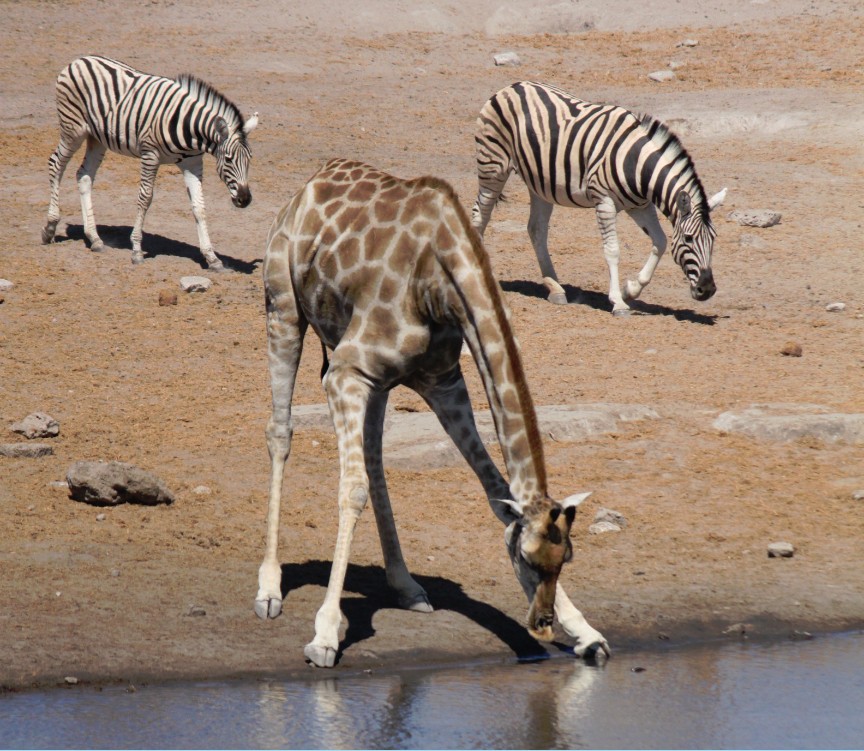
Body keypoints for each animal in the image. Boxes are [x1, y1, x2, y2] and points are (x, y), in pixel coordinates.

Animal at [41, 56, 256, 274]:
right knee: (56, 164)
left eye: (249, 159)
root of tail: (78, 60)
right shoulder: (150, 155)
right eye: (228, 159)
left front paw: (212, 258)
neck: (189, 129)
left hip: (97, 138)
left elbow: (199, 207)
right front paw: (136, 250)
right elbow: (145, 198)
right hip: (73, 130)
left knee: (84, 176)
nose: (245, 199)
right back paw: (50, 228)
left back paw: (95, 239)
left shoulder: (192, 162)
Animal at [253, 159, 612, 668]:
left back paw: (406, 585)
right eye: (525, 559)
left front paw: (587, 634)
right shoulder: (346, 372)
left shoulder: (442, 381)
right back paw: (269, 587)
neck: (437, 280)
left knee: (375, 461)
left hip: (378, 381)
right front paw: (324, 635)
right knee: (280, 432)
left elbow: (497, 492)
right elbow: (351, 490)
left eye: (565, 561)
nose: (542, 623)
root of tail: (304, 189)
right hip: (282, 307)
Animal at [470, 81, 724, 316]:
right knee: (479, 217)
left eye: (713, 239)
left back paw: (555, 287)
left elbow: (660, 241)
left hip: (539, 182)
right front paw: (618, 302)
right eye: (689, 239)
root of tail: (512, 86)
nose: (707, 290)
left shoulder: (640, 206)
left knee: (536, 229)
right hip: (493, 168)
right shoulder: (604, 202)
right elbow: (612, 250)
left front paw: (631, 289)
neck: (636, 164)